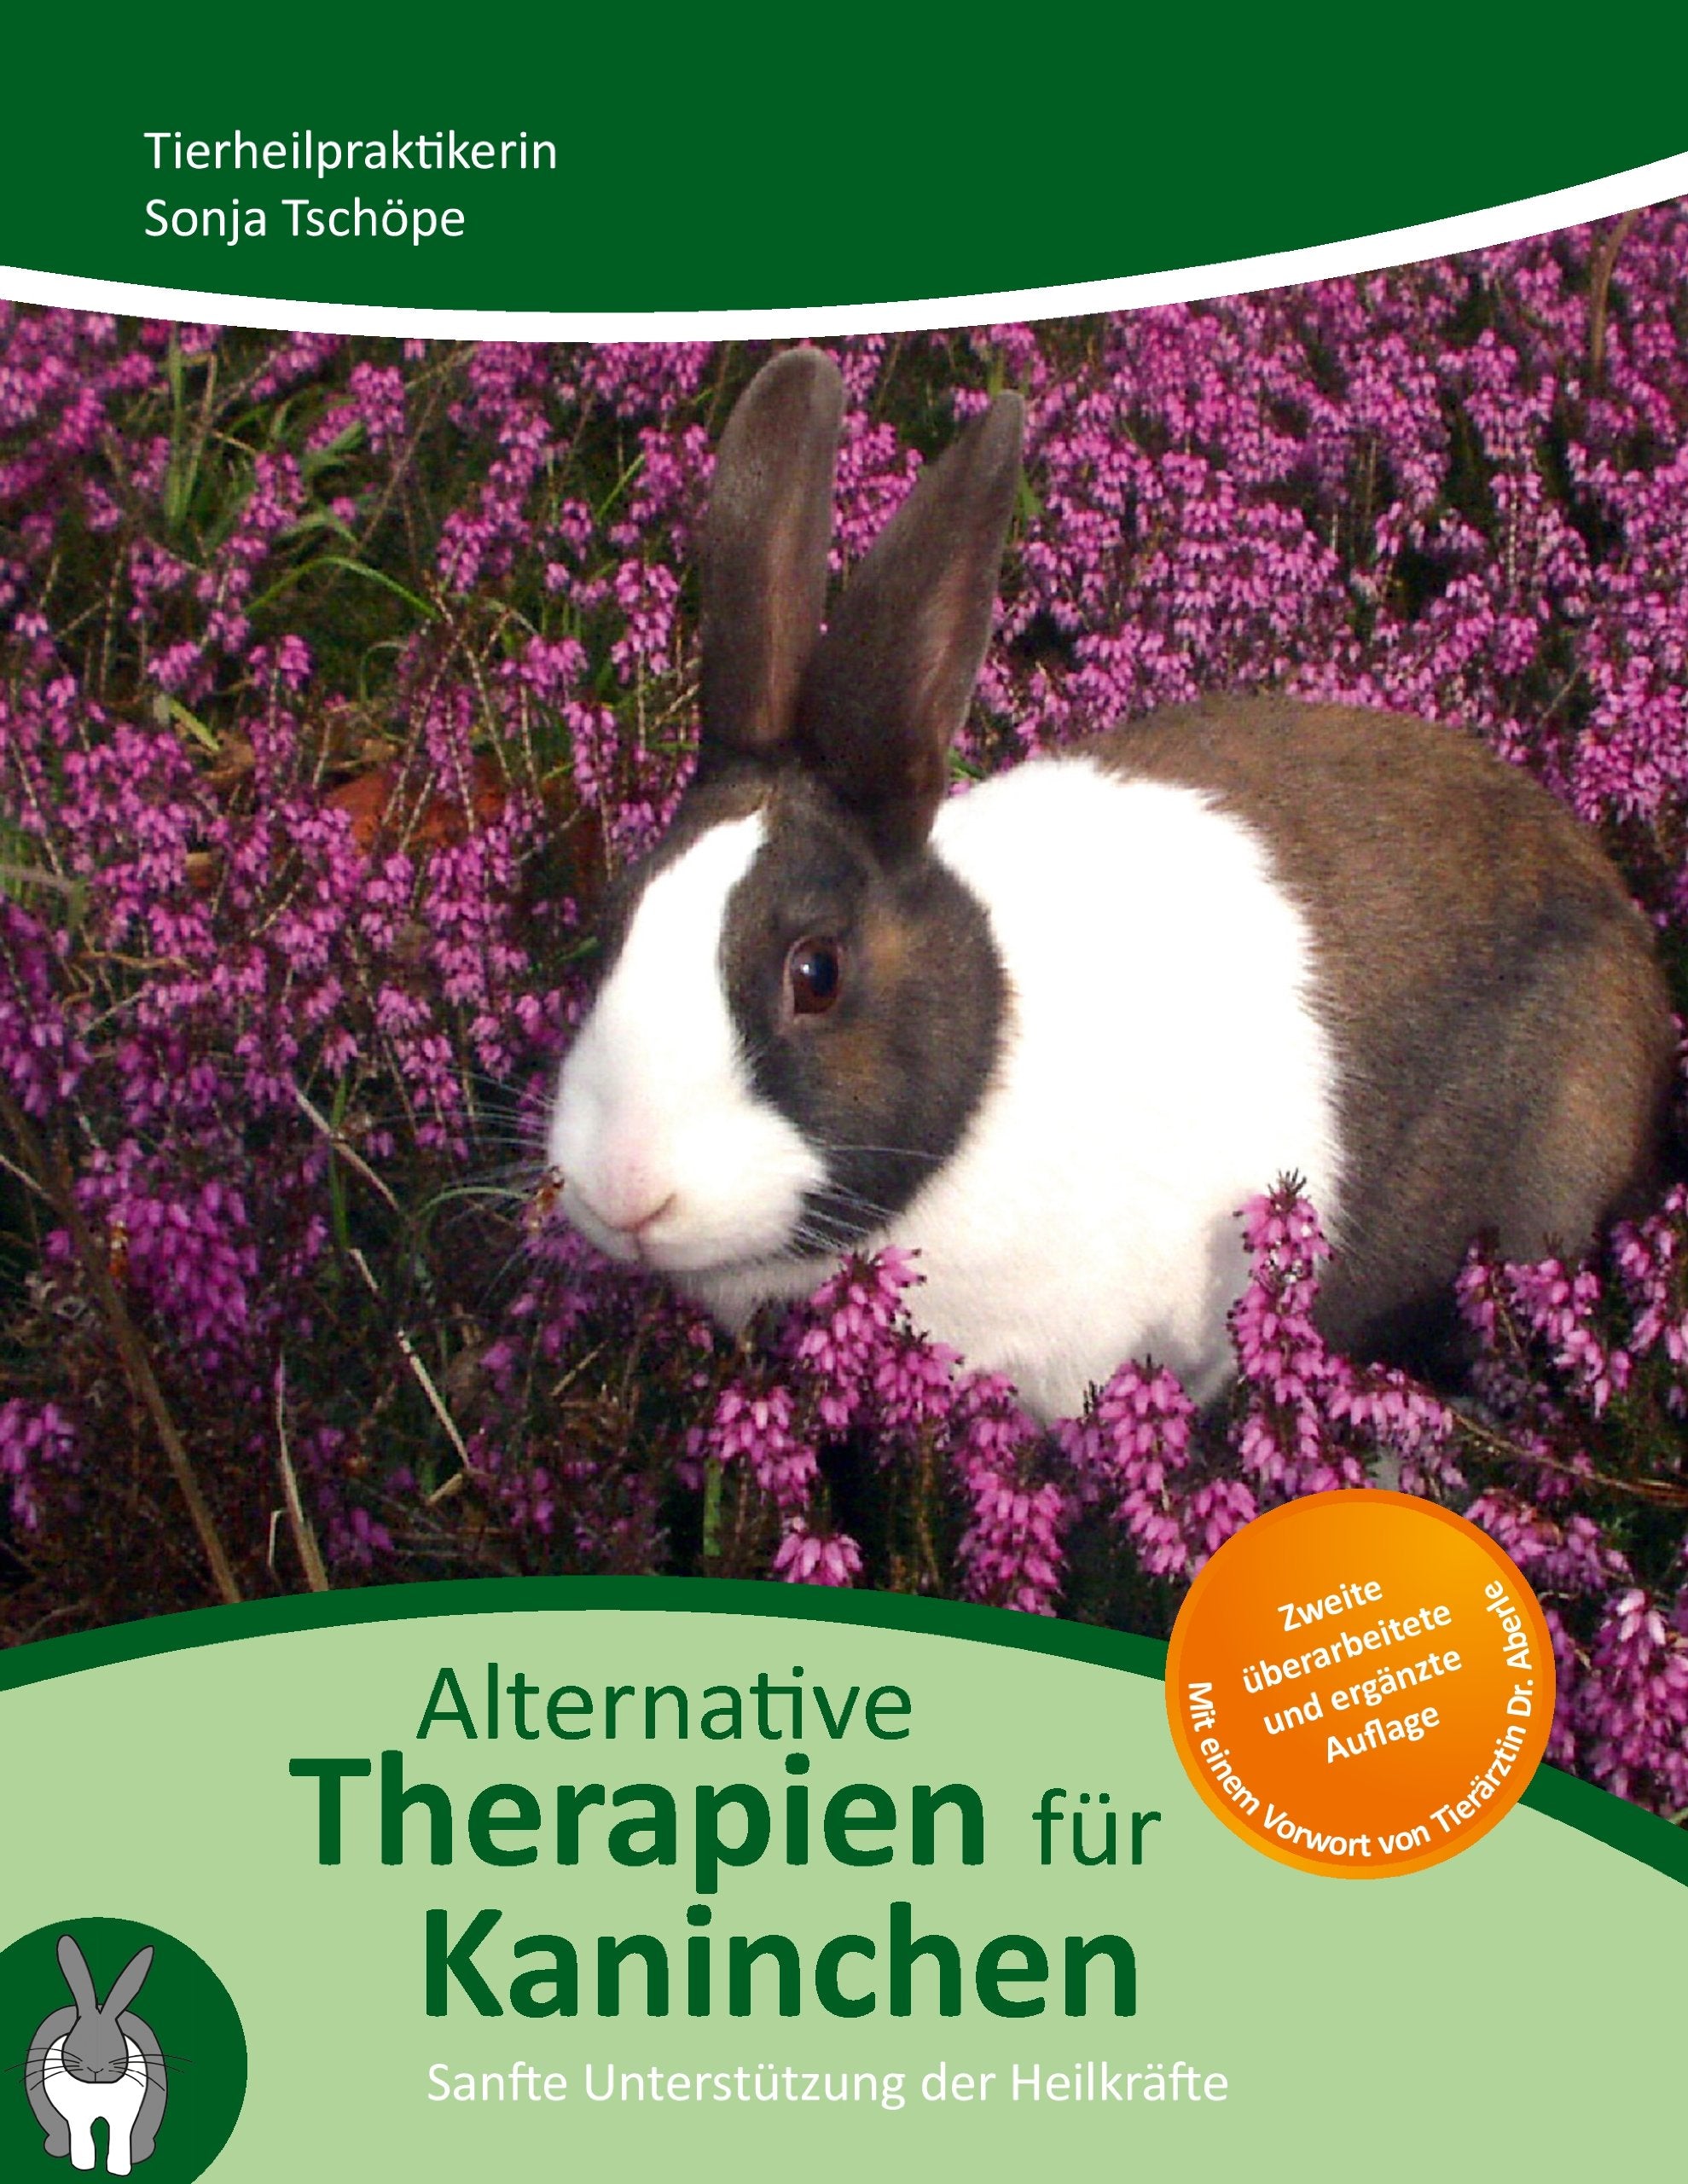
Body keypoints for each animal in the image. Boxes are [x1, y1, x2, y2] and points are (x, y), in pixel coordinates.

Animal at [25, 1935, 167, 2174]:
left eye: (115, 2038)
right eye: (79, 2034)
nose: (96, 2068)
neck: (96, 2089)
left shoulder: (125, 2116)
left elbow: (119, 2138)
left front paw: (119, 2170)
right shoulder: (76, 2117)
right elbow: (83, 2138)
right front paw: (83, 2166)